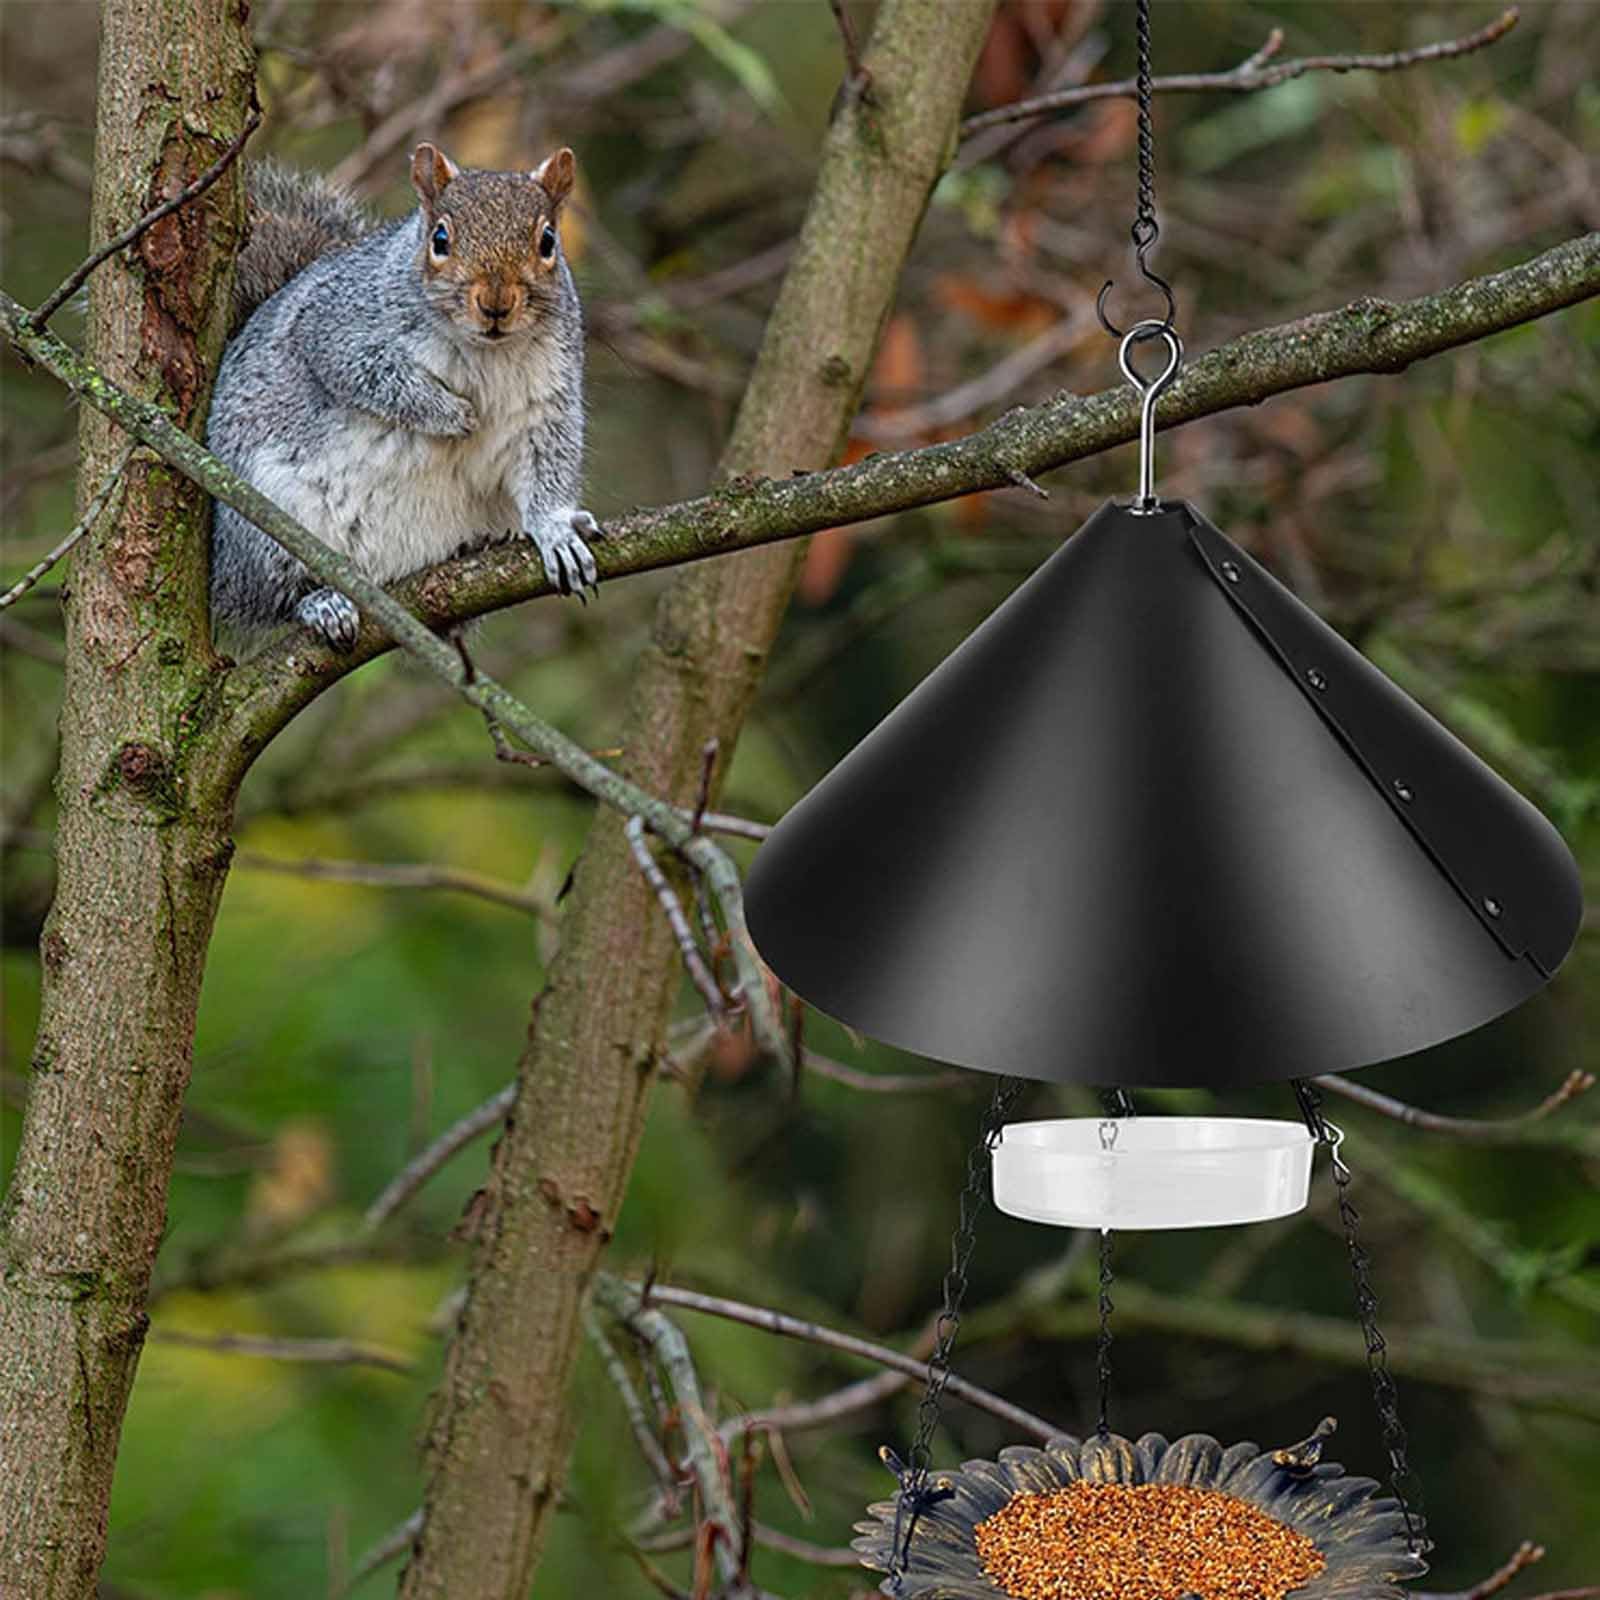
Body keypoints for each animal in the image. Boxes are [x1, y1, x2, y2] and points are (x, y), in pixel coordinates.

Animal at [207, 142, 602, 652]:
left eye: (549, 241)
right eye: (440, 239)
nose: (496, 304)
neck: (485, 351)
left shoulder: (548, 400)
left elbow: (548, 463)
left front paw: (556, 530)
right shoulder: (333, 329)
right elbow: (370, 378)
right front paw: (453, 415)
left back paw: (474, 549)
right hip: (263, 522)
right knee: (273, 596)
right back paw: (321, 603)